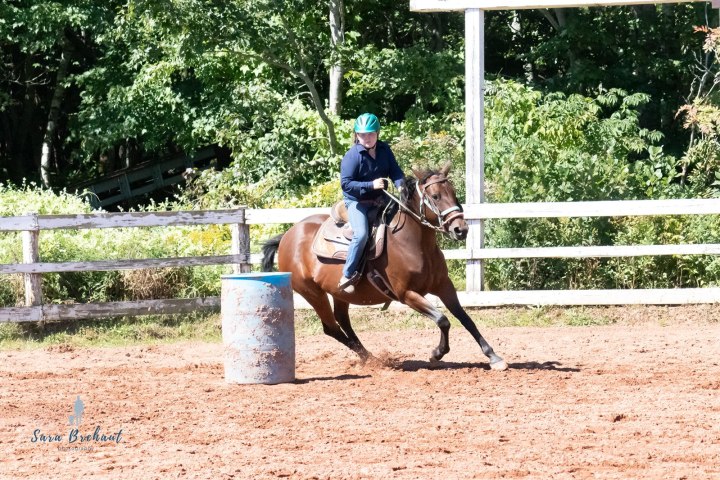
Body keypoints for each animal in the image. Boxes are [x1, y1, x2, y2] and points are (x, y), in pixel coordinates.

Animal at [261, 163, 507, 370]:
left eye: (454, 193)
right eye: (435, 196)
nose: (460, 229)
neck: (414, 244)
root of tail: (287, 236)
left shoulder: (444, 286)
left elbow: (465, 318)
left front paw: (493, 357)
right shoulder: (407, 294)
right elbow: (443, 320)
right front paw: (437, 353)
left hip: (339, 293)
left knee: (343, 321)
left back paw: (369, 357)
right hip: (312, 293)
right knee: (331, 327)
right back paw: (373, 360)